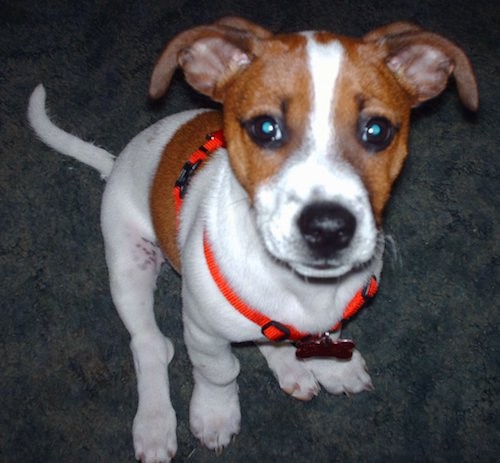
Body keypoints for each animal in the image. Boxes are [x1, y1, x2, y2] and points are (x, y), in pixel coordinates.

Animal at [26, 17, 476, 463]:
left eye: (377, 130)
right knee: (151, 346)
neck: (301, 290)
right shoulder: (202, 331)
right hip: (128, 265)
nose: (328, 228)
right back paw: (155, 424)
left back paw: (291, 367)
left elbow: (324, 336)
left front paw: (332, 365)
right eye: (265, 128)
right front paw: (215, 413)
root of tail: (117, 161)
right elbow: (219, 372)